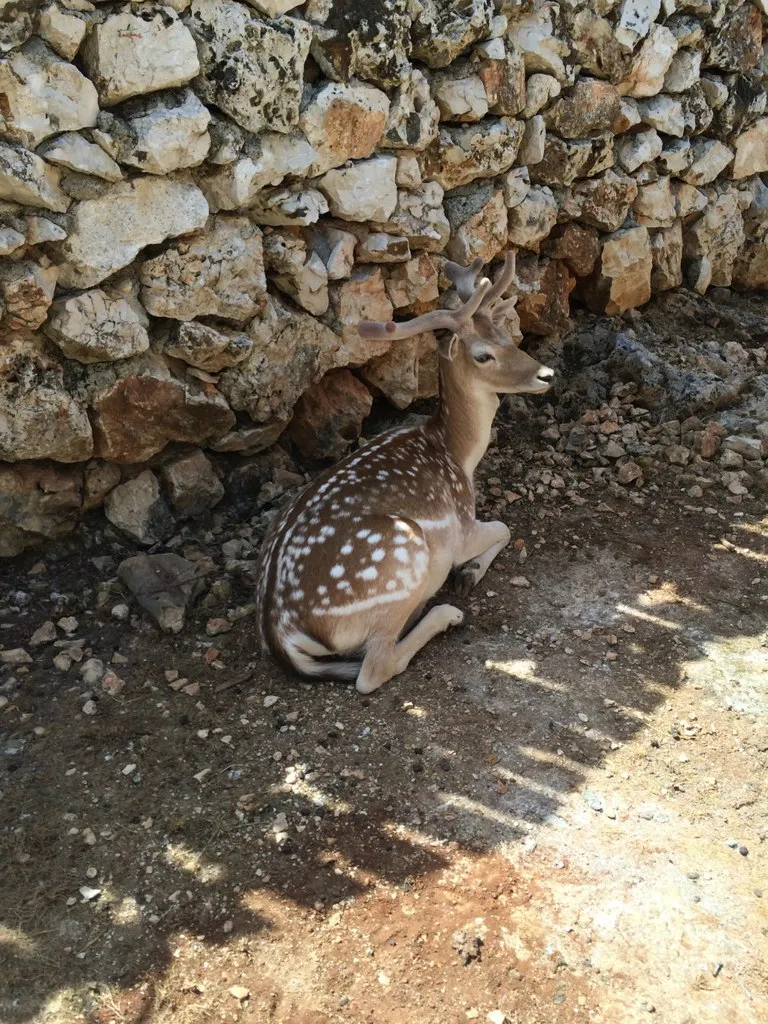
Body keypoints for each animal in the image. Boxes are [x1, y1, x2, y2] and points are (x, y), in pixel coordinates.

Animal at [255, 251, 554, 694]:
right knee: (374, 668)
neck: (458, 455)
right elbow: (504, 526)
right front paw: (468, 573)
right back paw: (444, 613)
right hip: (402, 558)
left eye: (508, 336)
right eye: (483, 354)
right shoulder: (461, 524)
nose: (546, 374)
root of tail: (282, 634)